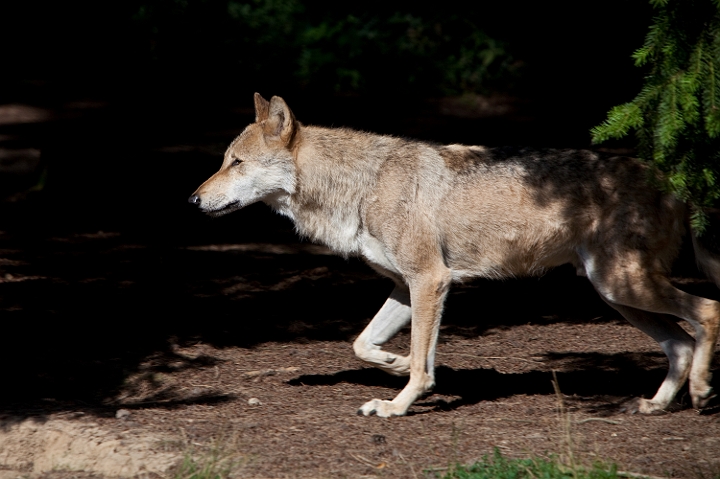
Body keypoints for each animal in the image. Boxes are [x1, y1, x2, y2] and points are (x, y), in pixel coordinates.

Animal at [189, 93, 720, 417]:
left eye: (235, 163)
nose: (193, 200)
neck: (362, 185)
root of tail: (672, 178)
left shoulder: (431, 280)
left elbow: (422, 367)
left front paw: (398, 404)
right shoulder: (405, 287)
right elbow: (363, 344)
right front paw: (395, 362)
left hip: (621, 285)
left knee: (707, 313)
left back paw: (699, 390)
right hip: (614, 294)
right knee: (679, 342)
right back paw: (656, 405)